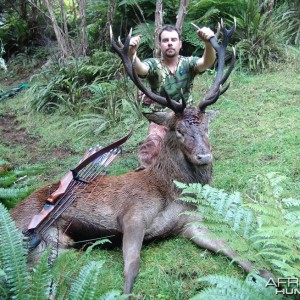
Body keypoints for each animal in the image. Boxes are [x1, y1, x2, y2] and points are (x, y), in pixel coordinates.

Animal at [10, 19, 272, 296]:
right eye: (179, 130)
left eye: (206, 126)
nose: (204, 156)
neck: (171, 192)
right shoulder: (132, 213)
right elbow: (132, 267)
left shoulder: (191, 223)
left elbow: (234, 250)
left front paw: (270, 276)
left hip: (55, 246)